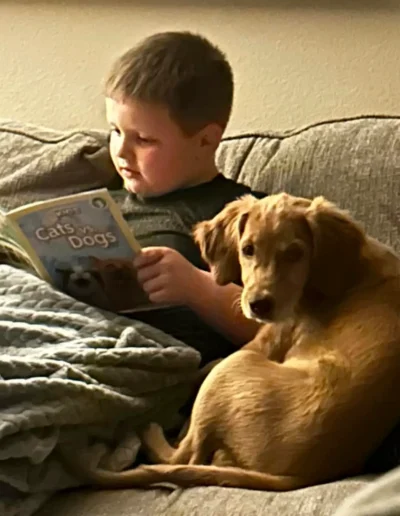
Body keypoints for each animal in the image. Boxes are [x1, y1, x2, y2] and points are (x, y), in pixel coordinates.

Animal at [59, 195, 400, 492]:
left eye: (295, 253)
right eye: (247, 249)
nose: (258, 306)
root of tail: (300, 476)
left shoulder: (268, 339)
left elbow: (207, 363)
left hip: (232, 371)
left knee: (185, 454)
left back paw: (151, 430)